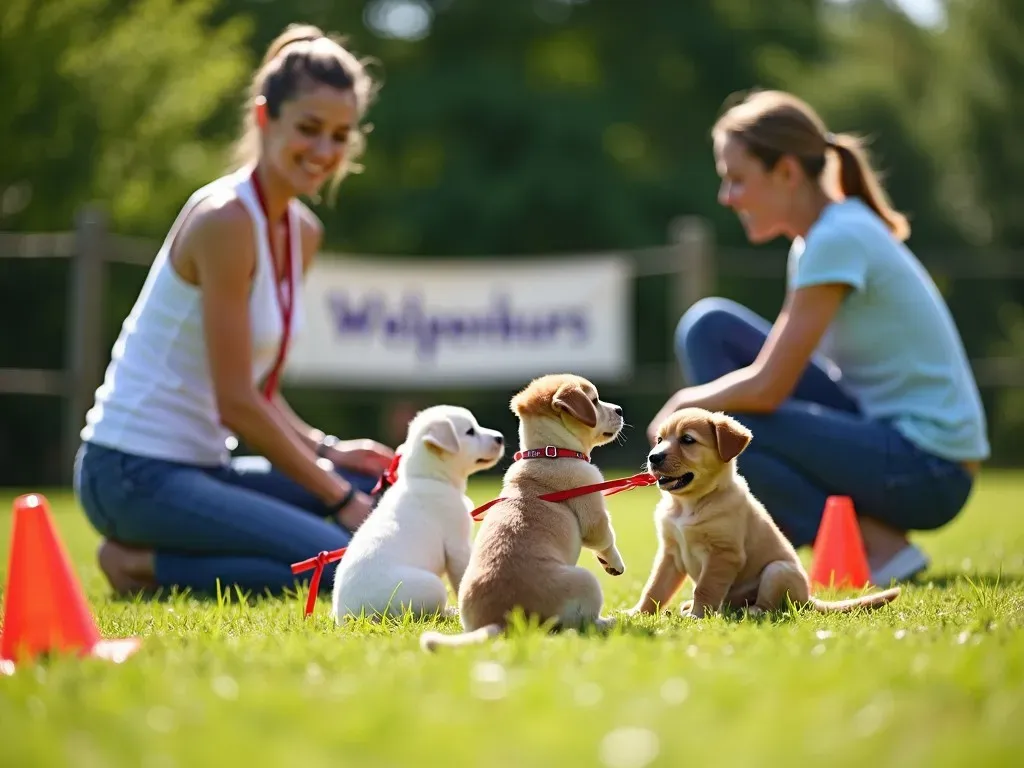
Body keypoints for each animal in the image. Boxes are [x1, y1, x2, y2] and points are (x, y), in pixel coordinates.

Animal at [331, 405, 503, 622]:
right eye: (470, 431)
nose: (500, 438)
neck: (429, 477)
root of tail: (349, 616)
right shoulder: (457, 545)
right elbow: (461, 576)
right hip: (431, 586)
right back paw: (450, 612)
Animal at [415, 376, 622, 651]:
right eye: (595, 400)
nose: (620, 410)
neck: (550, 452)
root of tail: (500, 621)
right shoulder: (592, 505)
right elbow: (605, 538)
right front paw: (616, 563)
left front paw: (607, 564)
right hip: (586, 582)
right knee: (578, 625)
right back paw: (608, 622)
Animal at [626, 409, 901, 618]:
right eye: (660, 439)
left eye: (687, 440)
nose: (653, 457)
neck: (688, 504)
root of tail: (809, 597)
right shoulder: (670, 554)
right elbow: (655, 589)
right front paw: (638, 613)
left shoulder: (723, 554)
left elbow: (704, 589)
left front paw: (698, 616)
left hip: (777, 571)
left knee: (771, 606)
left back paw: (751, 611)